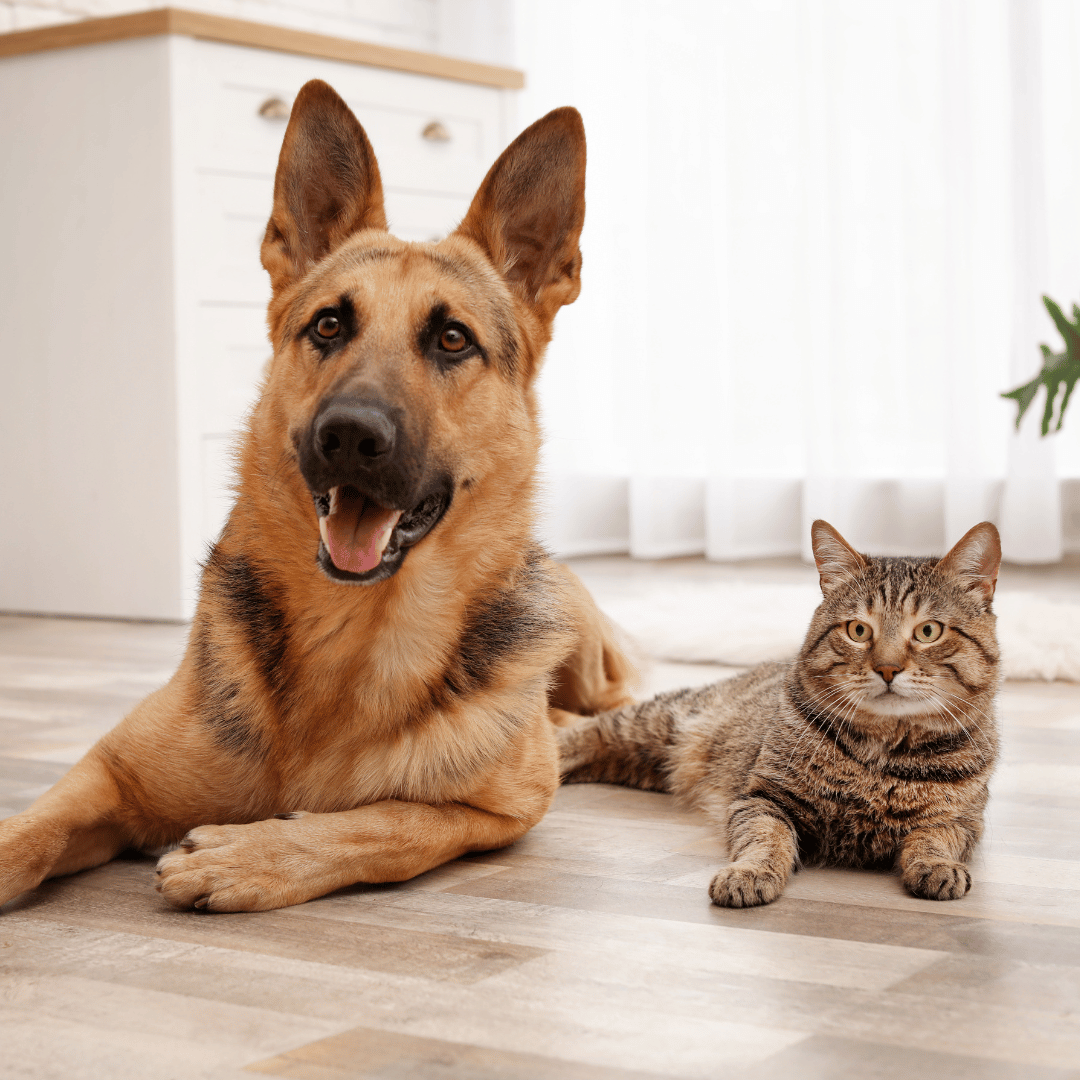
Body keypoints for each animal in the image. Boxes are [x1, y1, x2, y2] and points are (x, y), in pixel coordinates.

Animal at [0, 82, 630, 911]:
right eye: (329, 324)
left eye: (452, 340)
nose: (351, 435)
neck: (350, 635)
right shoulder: (108, 772)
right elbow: (27, 832)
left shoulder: (497, 812)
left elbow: (386, 822)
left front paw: (249, 854)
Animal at [561, 518, 997, 907]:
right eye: (858, 630)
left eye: (928, 631)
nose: (887, 669)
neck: (882, 752)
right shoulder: (764, 798)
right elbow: (765, 839)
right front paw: (750, 873)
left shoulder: (961, 821)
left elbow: (933, 839)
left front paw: (936, 866)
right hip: (659, 722)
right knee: (588, 731)